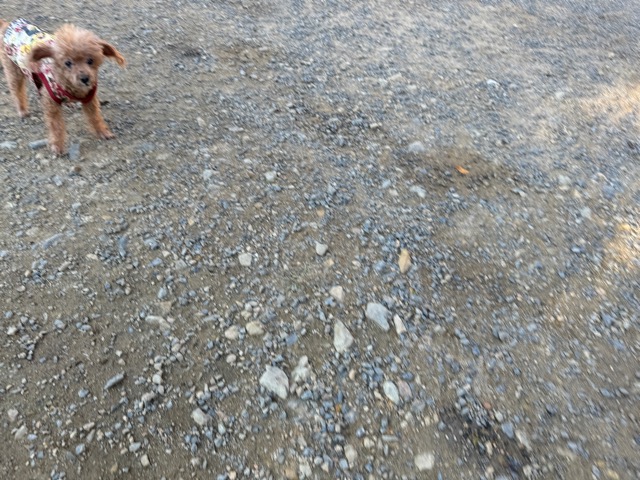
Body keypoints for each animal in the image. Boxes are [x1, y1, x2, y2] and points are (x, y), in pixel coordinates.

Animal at [0, 18, 125, 154]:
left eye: (90, 60)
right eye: (68, 63)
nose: (85, 78)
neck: (72, 88)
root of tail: (9, 24)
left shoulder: (89, 98)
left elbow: (95, 117)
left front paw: (102, 132)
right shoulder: (51, 102)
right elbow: (56, 125)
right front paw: (57, 145)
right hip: (13, 70)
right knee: (17, 90)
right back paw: (23, 110)